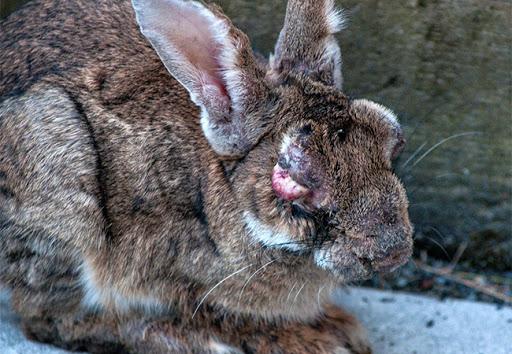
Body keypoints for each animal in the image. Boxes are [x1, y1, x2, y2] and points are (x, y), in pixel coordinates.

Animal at [0, 0, 414, 352]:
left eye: (392, 140)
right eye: (291, 181)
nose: (393, 252)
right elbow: (222, 315)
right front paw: (319, 338)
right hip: (62, 199)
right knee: (52, 319)